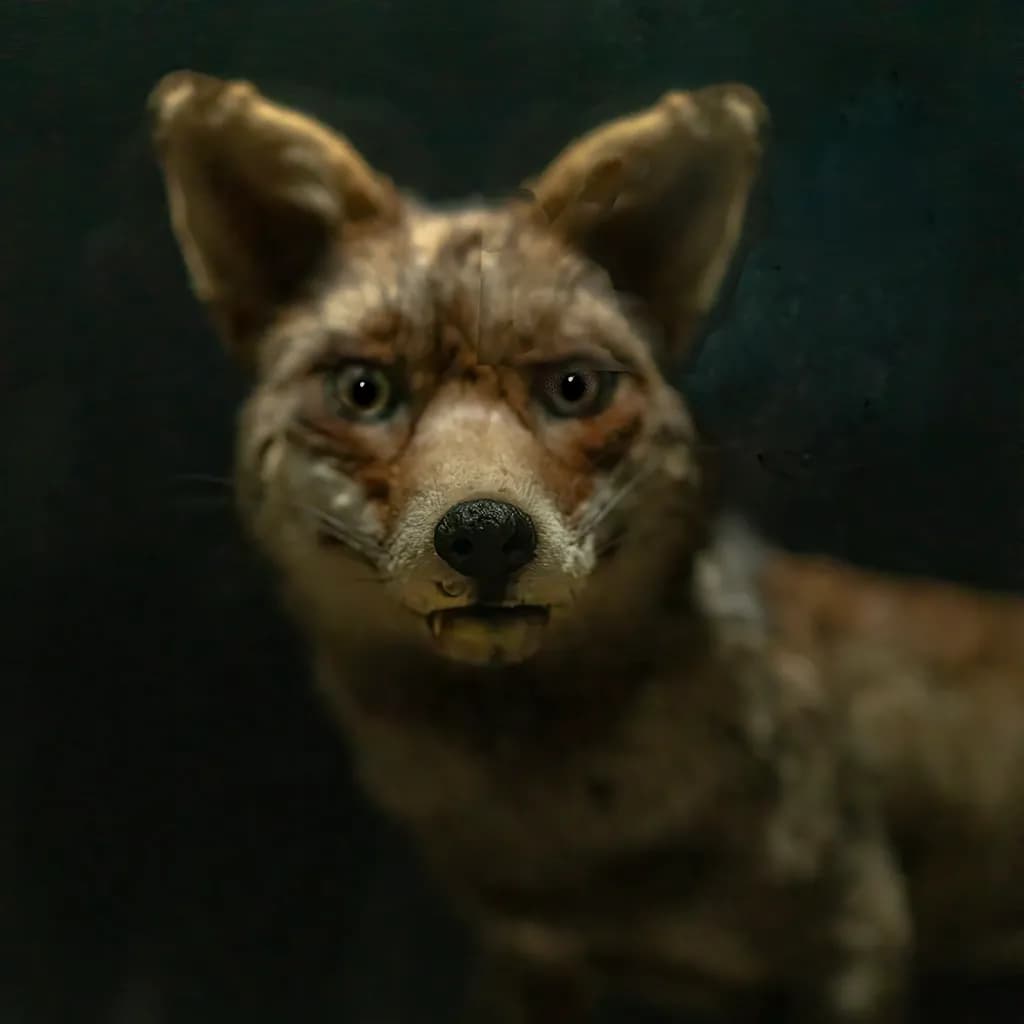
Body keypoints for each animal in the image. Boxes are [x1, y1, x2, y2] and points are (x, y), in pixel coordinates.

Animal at [148, 70, 1024, 1023]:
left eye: (572, 388)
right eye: (365, 391)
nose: (486, 536)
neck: (573, 838)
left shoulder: (856, 937)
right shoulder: (528, 957)